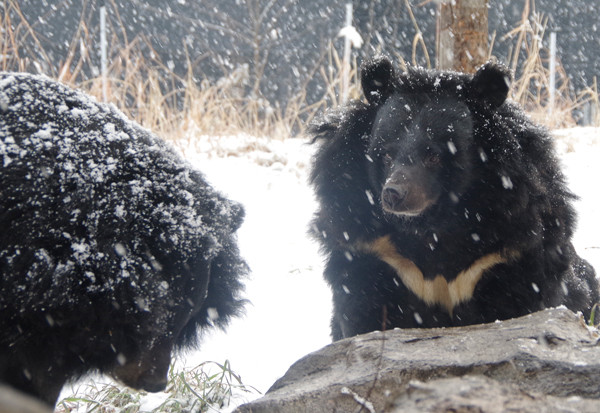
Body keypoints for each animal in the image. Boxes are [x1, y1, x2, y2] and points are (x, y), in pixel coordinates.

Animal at [310, 56, 600, 340]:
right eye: (387, 154)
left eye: (433, 156)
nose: (393, 194)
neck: (435, 227)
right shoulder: (371, 248)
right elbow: (364, 308)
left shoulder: (512, 249)